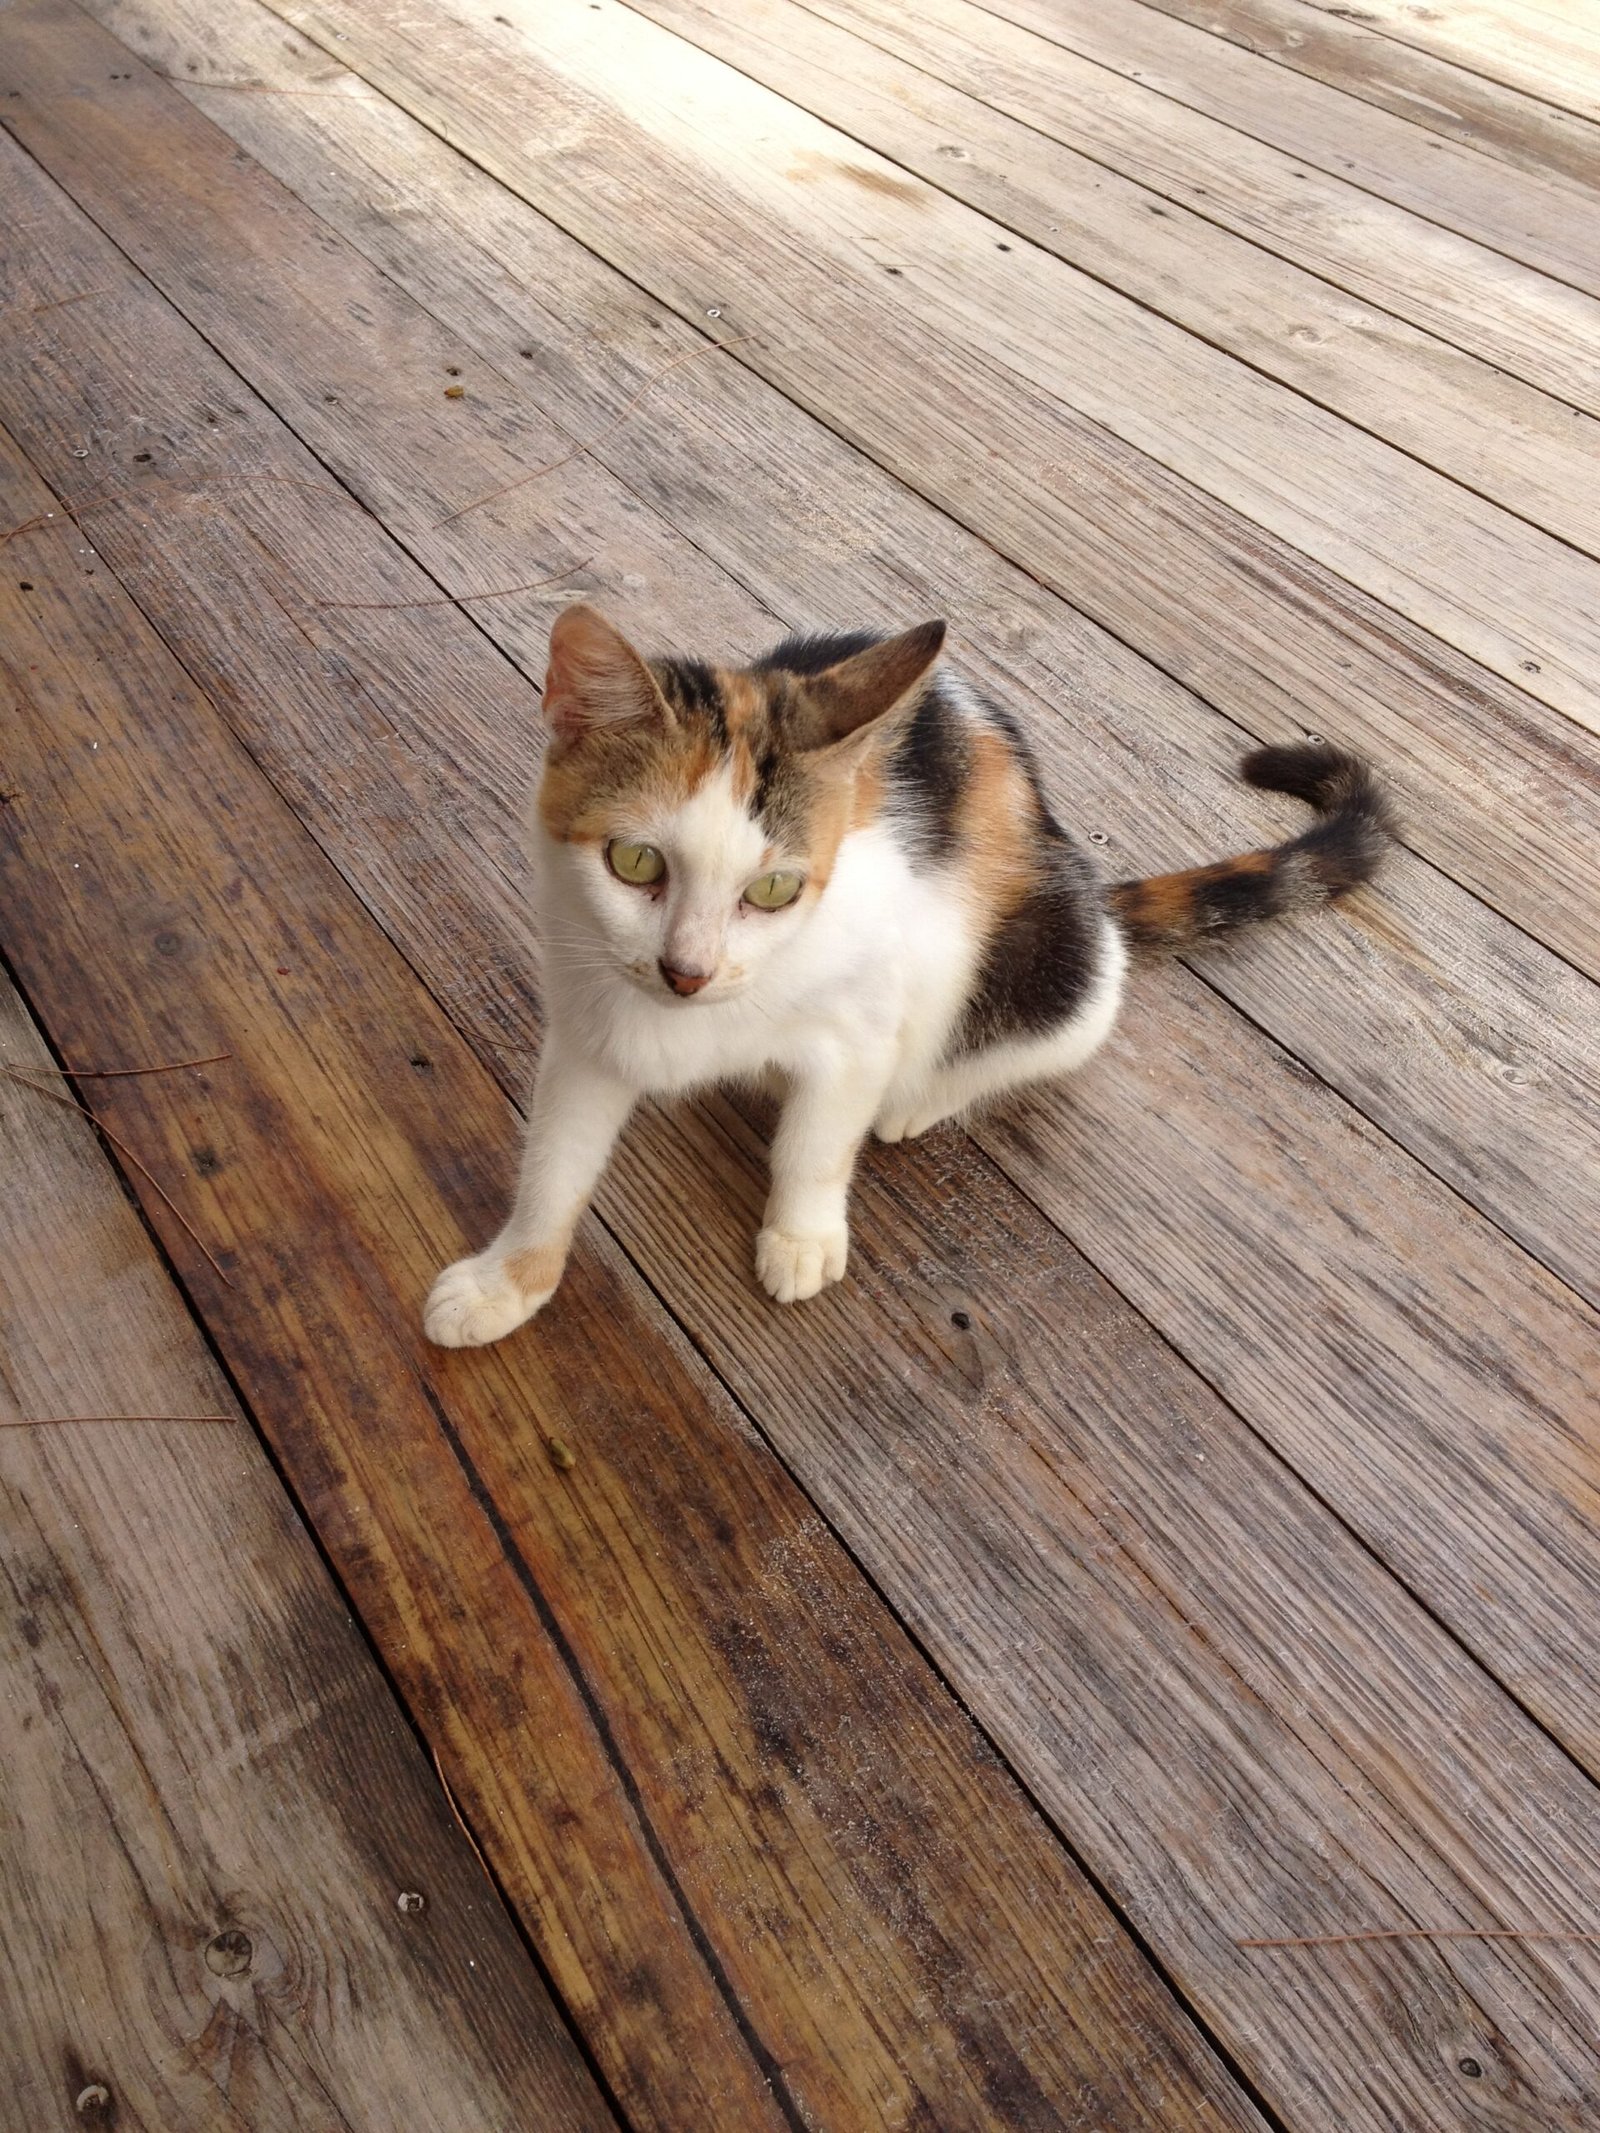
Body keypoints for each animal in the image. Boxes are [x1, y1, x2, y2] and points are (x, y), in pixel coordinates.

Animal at [422, 601, 1390, 1339]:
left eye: (774, 888)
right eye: (634, 863)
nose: (687, 971)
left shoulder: (866, 1014)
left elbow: (817, 1142)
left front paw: (802, 1235)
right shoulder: (586, 1020)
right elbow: (554, 1163)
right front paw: (505, 1282)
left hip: (1050, 954)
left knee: (1049, 1026)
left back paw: (920, 1100)